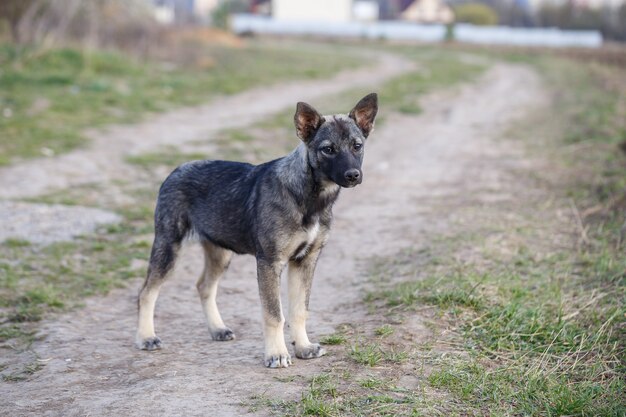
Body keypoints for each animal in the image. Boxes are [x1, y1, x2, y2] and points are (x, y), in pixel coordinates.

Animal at [137, 92, 378, 366]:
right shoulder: (270, 263)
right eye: (328, 149)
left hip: (220, 253)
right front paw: (276, 354)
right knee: (146, 292)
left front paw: (303, 347)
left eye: (357, 146)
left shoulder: (305, 261)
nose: (353, 175)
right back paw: (147, 337)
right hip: (169, 247)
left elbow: (299, 310)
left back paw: (217, 329)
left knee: (204, 286)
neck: (309, 197)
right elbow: (274, 315)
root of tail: (175, 171)